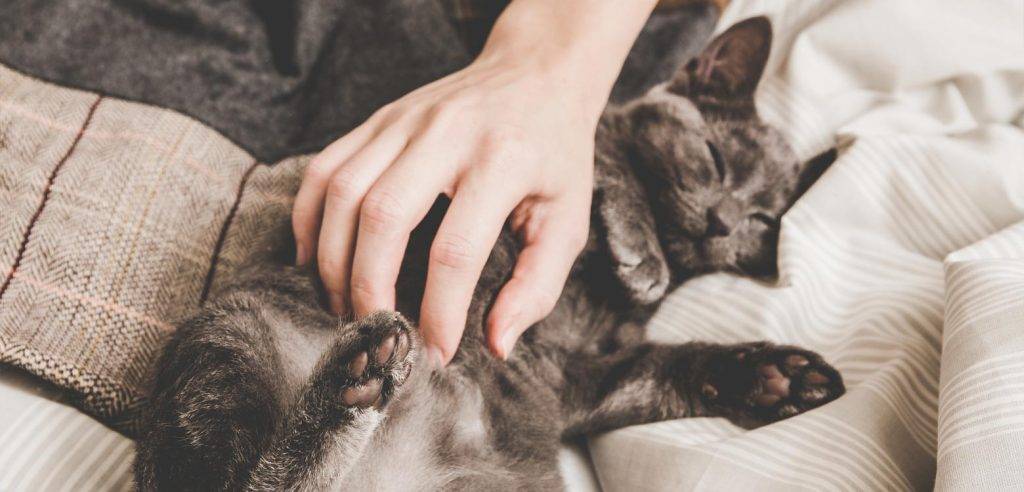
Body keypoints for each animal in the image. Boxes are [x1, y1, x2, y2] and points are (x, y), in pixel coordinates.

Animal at [134, 17, 839, 489]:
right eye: (714, 159)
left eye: (763, 219)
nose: (722, 222)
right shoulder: (508, 177)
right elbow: (606, 166)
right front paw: (641, 251)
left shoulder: (576, 378)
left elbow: (661, 370)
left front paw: (775, 376)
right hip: (231, 339)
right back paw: (353, 381)